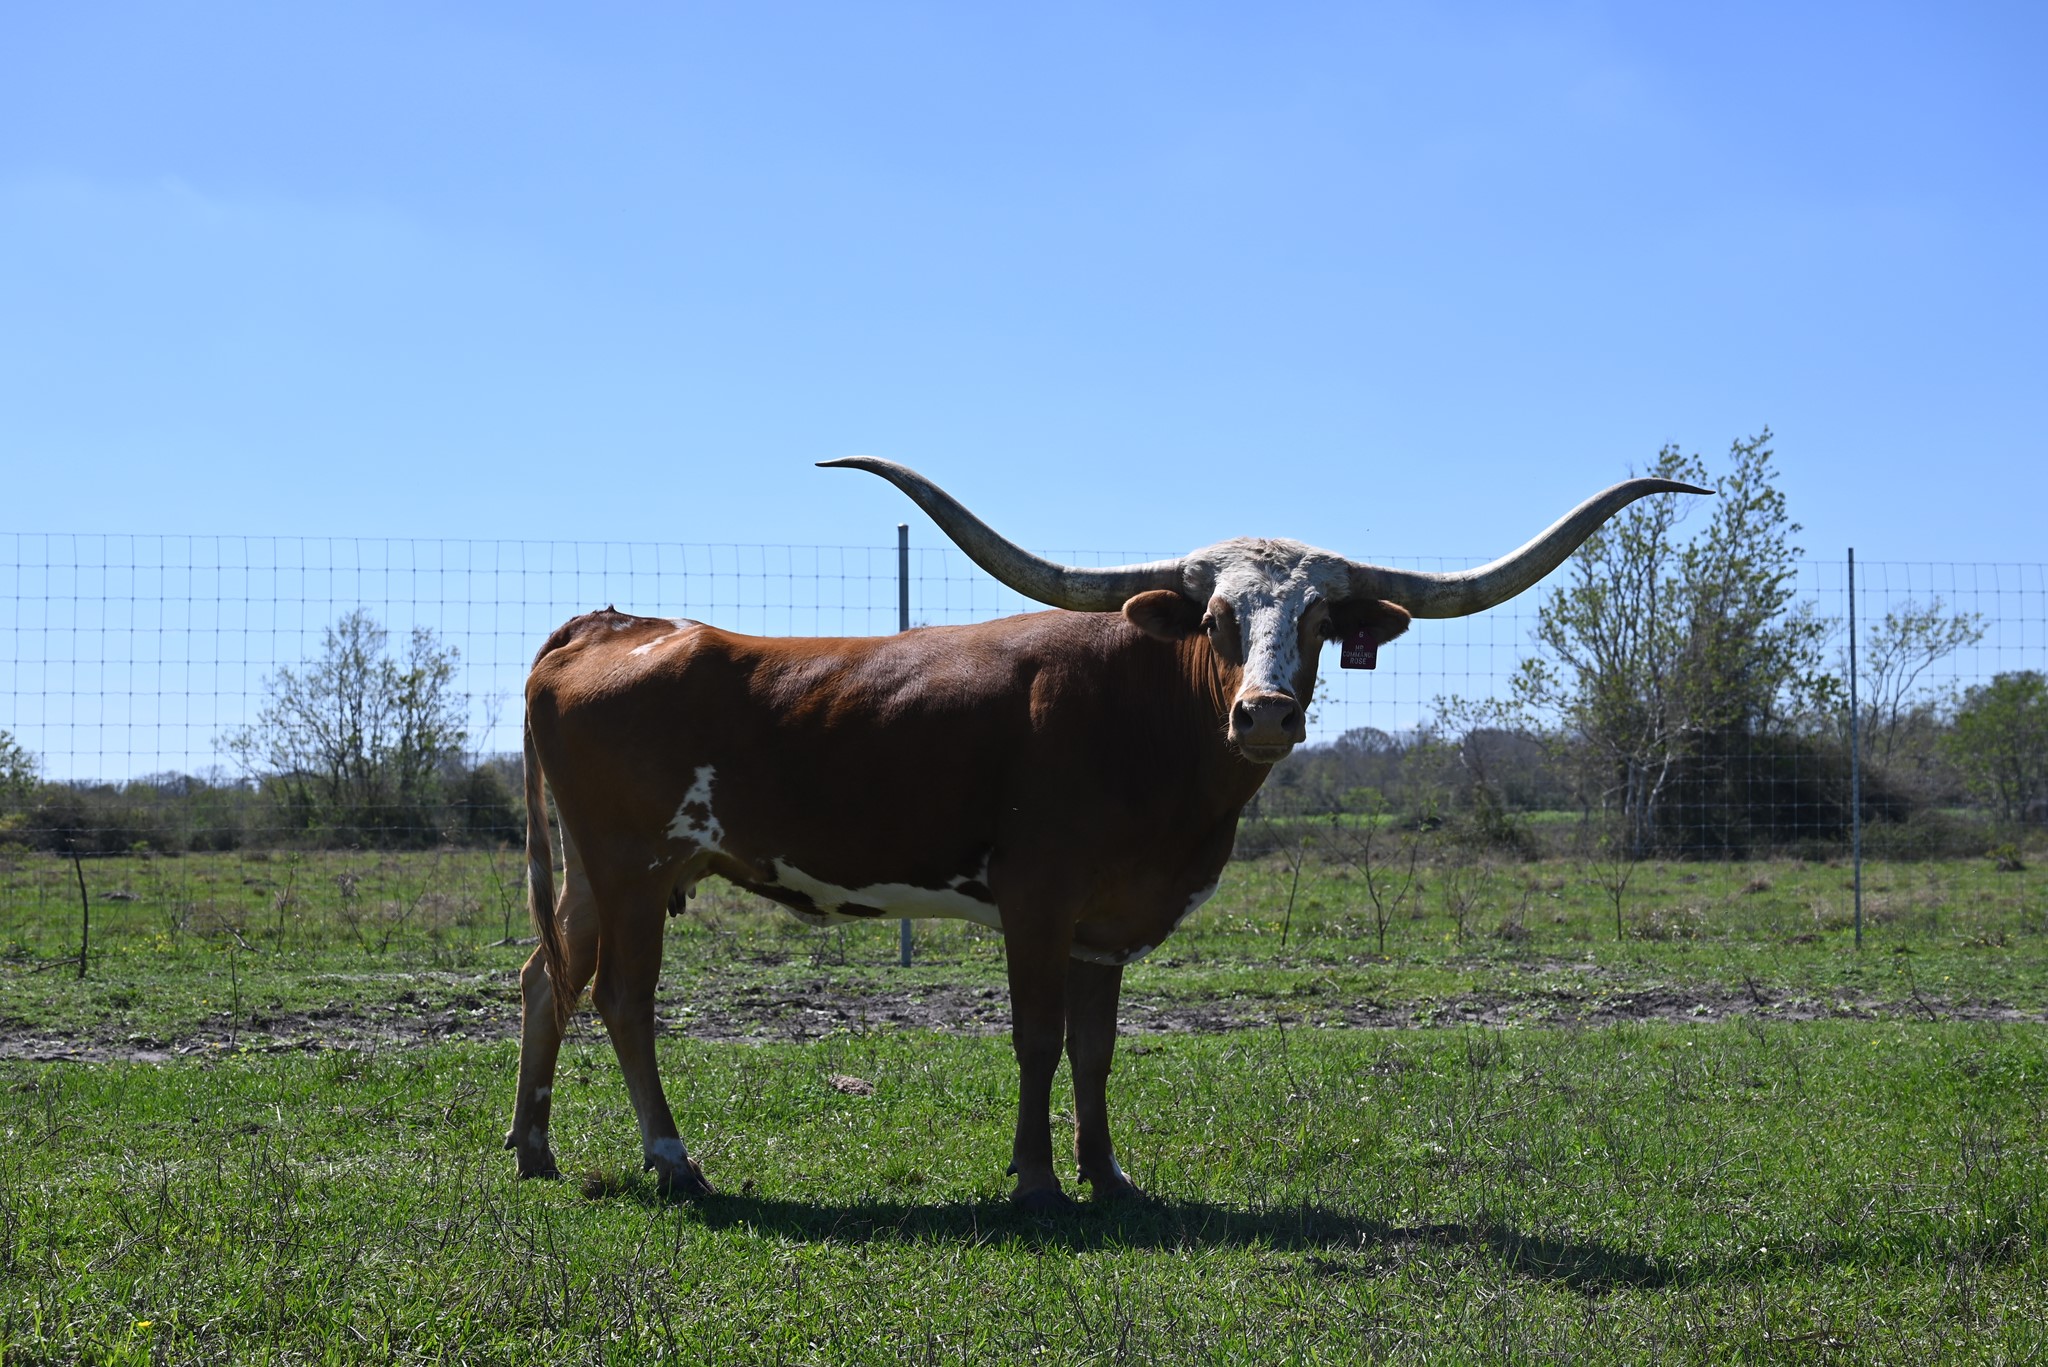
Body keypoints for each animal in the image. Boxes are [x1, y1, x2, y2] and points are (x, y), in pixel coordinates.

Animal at [508, 457, 1708, 1207]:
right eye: (1217, 617)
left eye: (1322, 619)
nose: (1264, 713)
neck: (1150, 720)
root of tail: (607, 624)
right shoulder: (1036, 900)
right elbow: (1037, 1037)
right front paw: (1037, 1179)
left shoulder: (1102, 921)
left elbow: (1096, 1047)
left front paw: (1107, 1173)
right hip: (633, 865)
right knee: (619, 996)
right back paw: (672, 1156)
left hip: (589, 871)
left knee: (544, 977)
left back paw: (533, 1146)